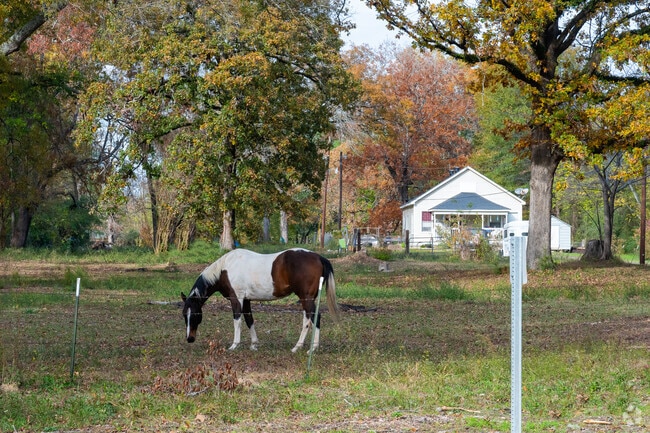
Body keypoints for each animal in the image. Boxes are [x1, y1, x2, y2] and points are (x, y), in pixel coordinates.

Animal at [181, 248, 339, 352]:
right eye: (184, 315)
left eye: (195, 314)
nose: (189, 338)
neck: (225, 269)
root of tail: (319, 257)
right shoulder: (246, 300)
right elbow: (249, 320)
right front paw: (254, 344)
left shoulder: (236, 299)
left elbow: (237, 321)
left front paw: (234, 345)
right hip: (308, 299)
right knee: (309, 319)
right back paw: (300, 347)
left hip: (306, 298)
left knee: (314, 318)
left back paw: (310, 348)